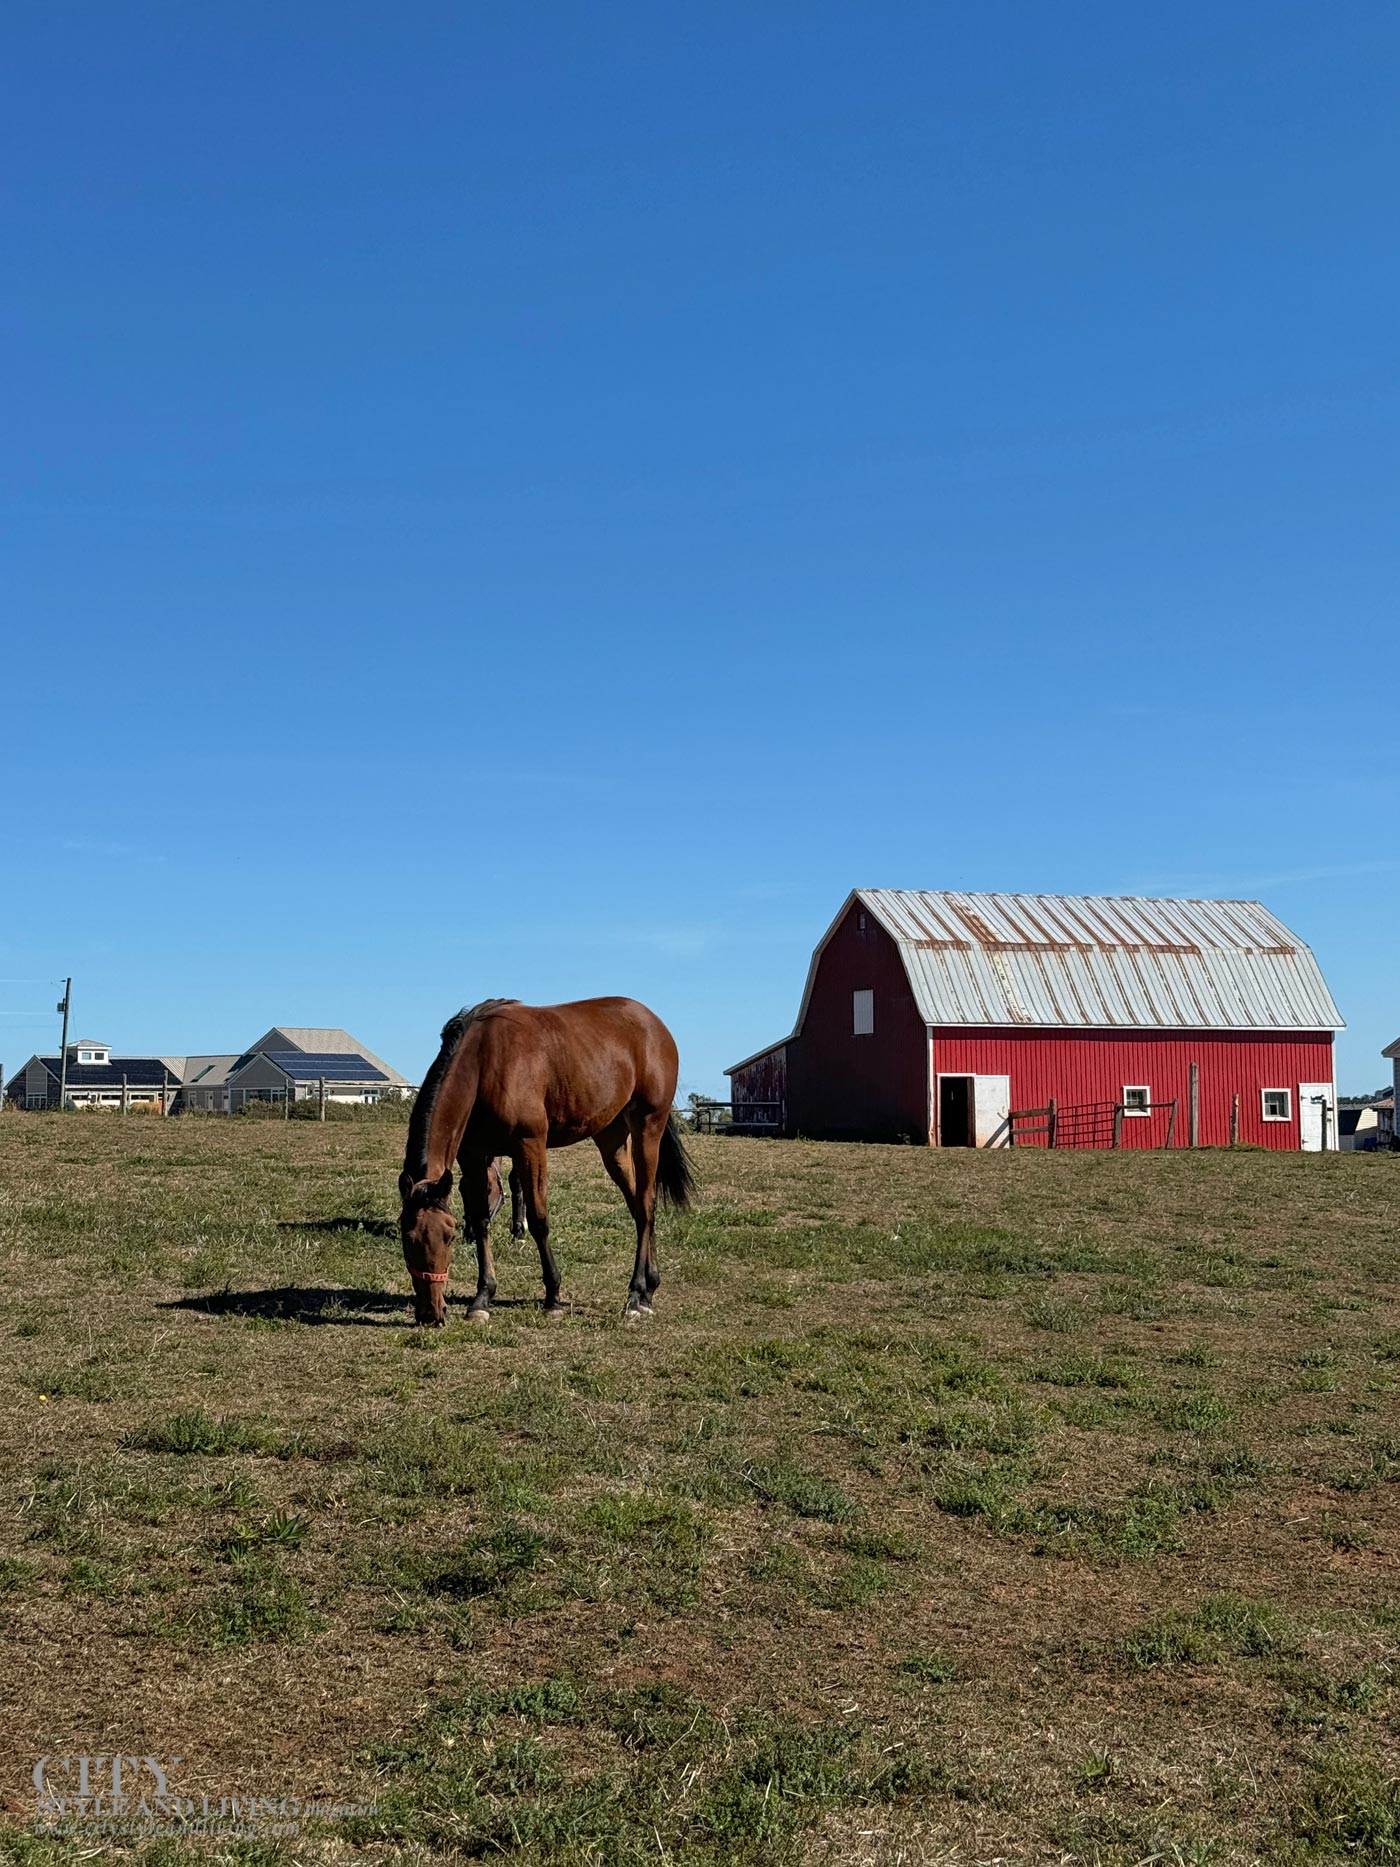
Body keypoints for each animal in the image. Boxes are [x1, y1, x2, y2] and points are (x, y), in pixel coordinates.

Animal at [398, 997, 696, 1326]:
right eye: (406, 1237)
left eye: (448, 1235)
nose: (430, 1313)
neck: (484, 1062)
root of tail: (654, 1024)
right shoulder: (473, 1155)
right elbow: (481, 1221)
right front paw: (482, 1297)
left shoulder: (530, 1145)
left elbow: (539, 1220)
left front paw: (553, 1296)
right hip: (612, 1139)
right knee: (639, 1207)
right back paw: (649, 1288)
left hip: (648, 1127)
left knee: (645, 1204)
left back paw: (636, 1293)